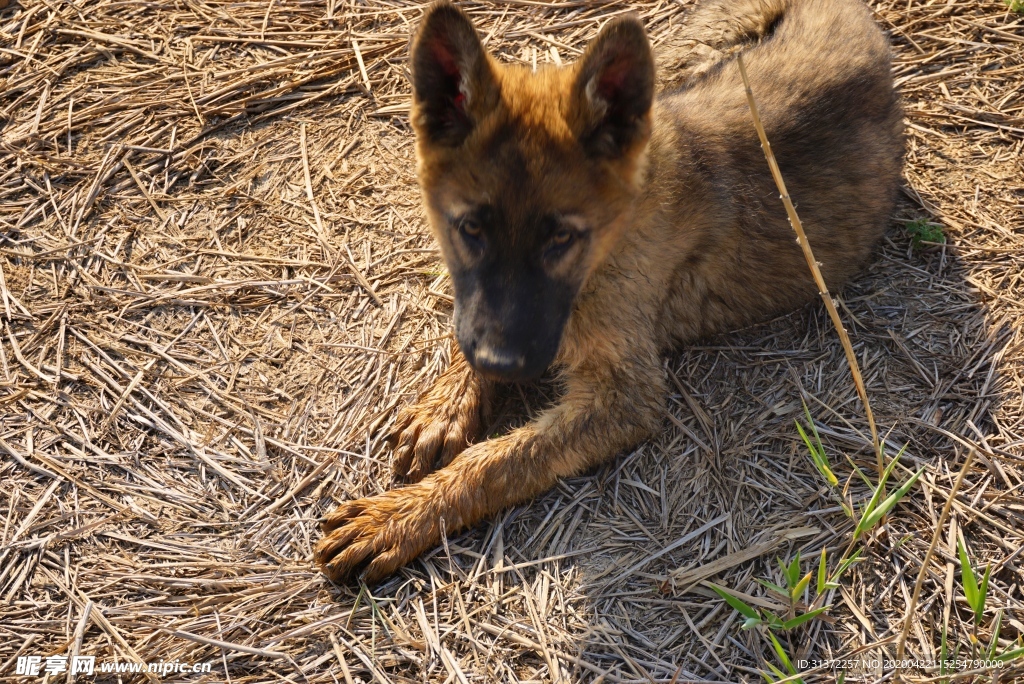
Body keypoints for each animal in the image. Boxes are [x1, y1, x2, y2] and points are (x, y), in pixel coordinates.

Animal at [313, 0, 905, 581]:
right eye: (470, 229)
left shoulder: (626, 395)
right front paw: (446, 404)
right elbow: (470, 328)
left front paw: (400, 516)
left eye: (562, 237)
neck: (615, 236)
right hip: (682, 57)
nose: (500, 363)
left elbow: (498, 461)